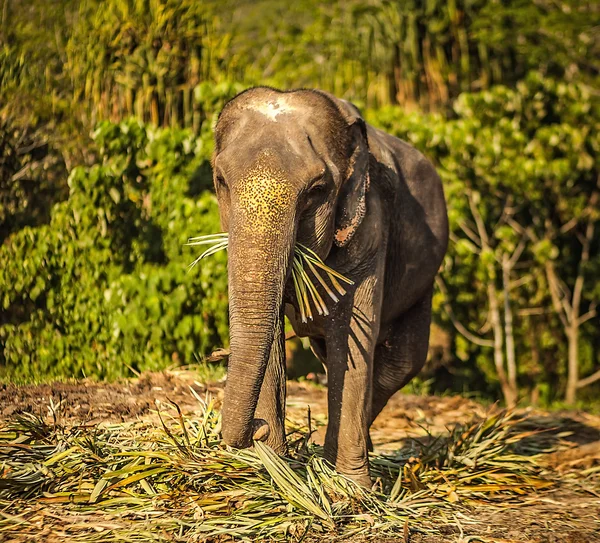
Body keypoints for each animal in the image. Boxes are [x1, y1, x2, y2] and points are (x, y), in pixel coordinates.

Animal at [213, 87, 448, 486]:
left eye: (318, 189)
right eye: (220, 180)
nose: (257, 429)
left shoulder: (371, 228)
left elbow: (352, 337)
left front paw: (350, 489)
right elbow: (270, 332)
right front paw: (275, 471)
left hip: (425, 282)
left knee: (402, 362)